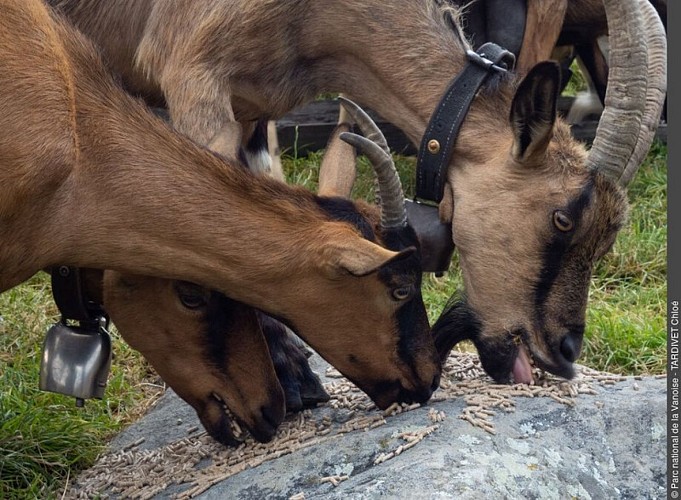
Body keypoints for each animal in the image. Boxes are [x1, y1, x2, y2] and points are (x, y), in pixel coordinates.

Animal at [47, 0, 664, 386]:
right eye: (563, 217)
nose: (564, 351)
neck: (315, 24)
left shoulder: (256, 113)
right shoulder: (191, 72)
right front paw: (290, 376)